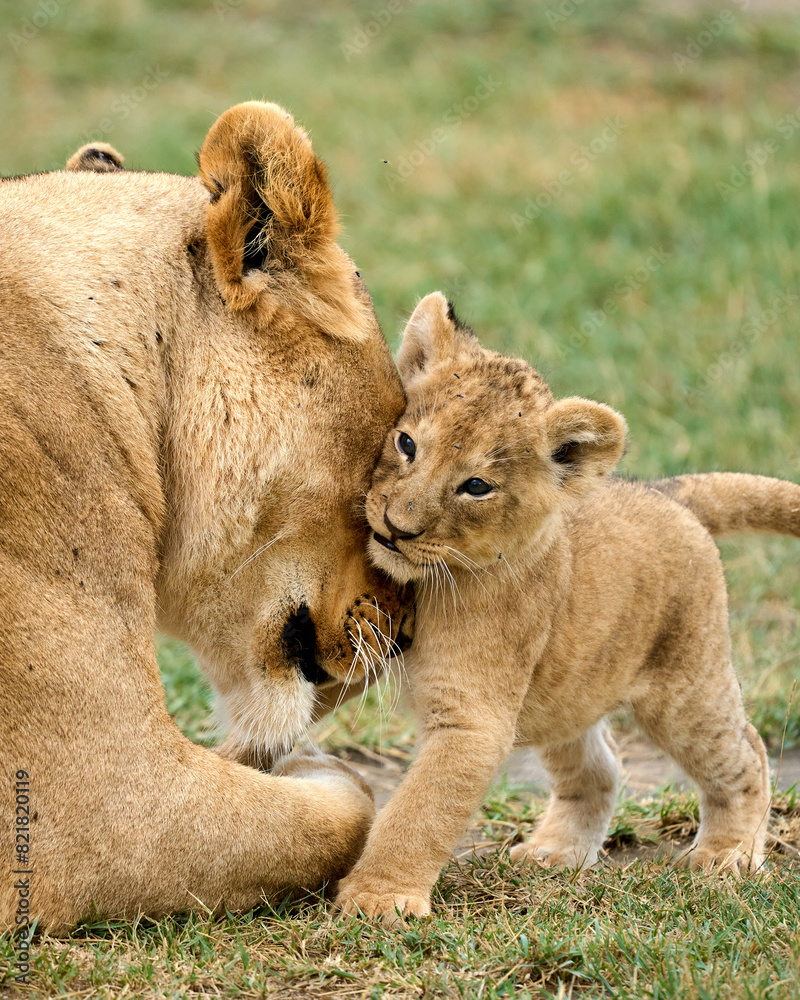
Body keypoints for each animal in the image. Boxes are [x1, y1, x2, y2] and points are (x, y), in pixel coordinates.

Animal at [335, 291, 799, 925]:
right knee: (600, 768)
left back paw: (727, 855)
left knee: (746, 752)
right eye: (406, 444)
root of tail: (664, 491)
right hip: (566, 691)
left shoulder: (473, 719)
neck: (430, 583)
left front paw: (378, 898)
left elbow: (421, 811)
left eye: (476, 486)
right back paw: (556, 853)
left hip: (685, 688)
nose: (395, 528)